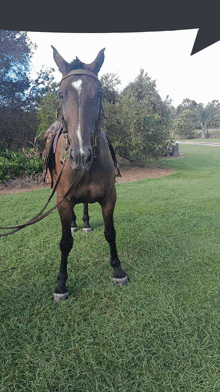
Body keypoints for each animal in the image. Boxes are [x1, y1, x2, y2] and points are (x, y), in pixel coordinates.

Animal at [50, 46, 128, 304]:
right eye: (60, 94)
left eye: (99, 94)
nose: (81, 156)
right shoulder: (62, 202)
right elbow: (65, 242)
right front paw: (61, 284)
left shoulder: (109, 198)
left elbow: (110, 233)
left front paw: (118, 270)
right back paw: (76, 224)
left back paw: (83, 223)